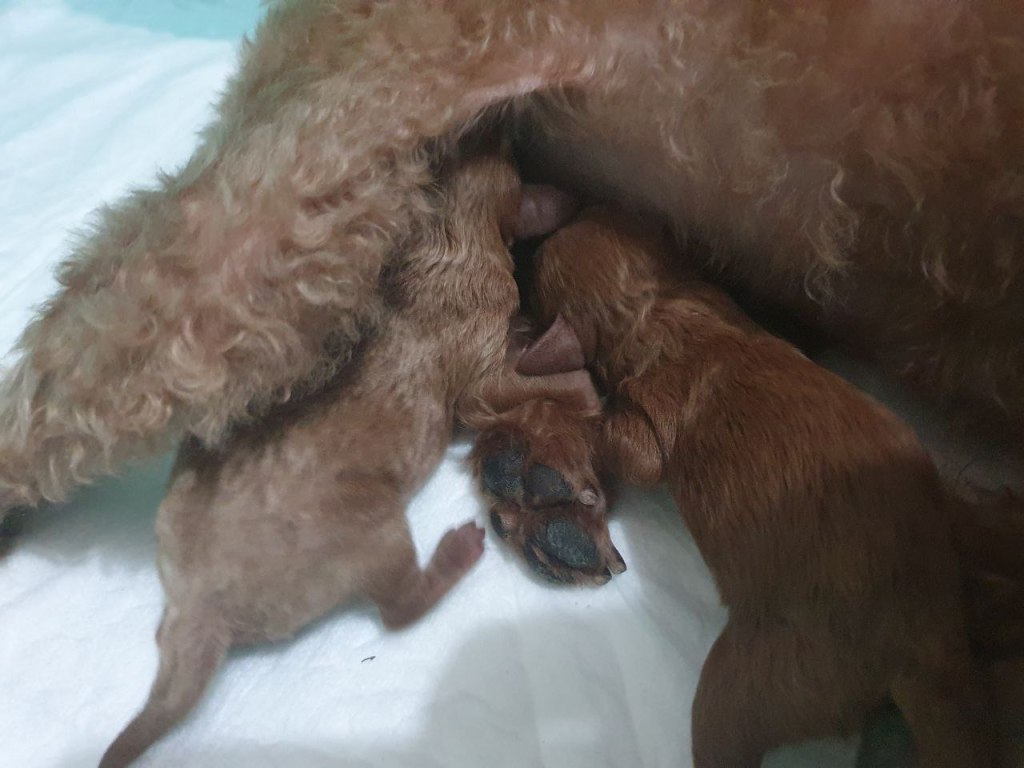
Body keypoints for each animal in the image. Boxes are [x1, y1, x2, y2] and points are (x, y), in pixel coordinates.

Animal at [97, 148, 620, 767]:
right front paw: (589, 388)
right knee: (398, 608)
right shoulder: (485, 363)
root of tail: (202, 608)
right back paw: (455, 554)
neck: (442, 236)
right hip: (373, 530)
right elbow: (549, 384)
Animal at [478, 206, 1024, 767]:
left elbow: (623, 442)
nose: (573, 208)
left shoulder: (647, 429)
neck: (661, 311)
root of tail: (928, 641)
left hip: (762, 680)